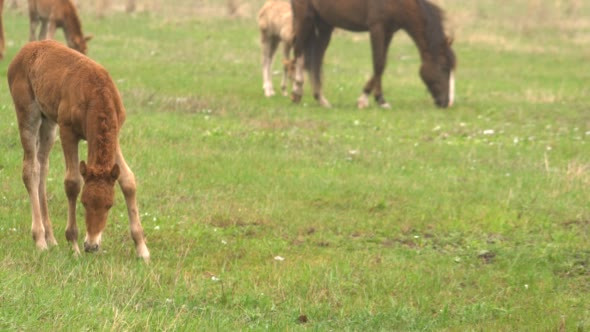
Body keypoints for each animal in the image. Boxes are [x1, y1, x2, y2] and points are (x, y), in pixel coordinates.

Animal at [7, 40, 150, 260]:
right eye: (84, 203)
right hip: (28, 112)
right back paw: (40, 240)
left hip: (49, 122)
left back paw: (51, 239)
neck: (96, 95)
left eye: (109, 205)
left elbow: (128, 180)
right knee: (30, 169)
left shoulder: (115, 135)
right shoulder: (68, 131)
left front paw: (142, 248)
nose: (91, 246)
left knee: (42, 167)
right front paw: (73, 245)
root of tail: (26, 49)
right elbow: (72, 182)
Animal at [292, 0, 458, 108]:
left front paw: (376, 98)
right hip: (305, 17)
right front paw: (372, 100)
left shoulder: (389, 31)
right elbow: (378, 63)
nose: (446, 102)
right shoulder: (377, 27)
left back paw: (321, 98)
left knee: (316, 58)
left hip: (325, 25)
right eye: (444, 67)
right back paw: (297, 91)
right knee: (298, 51)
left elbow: (382, 64)